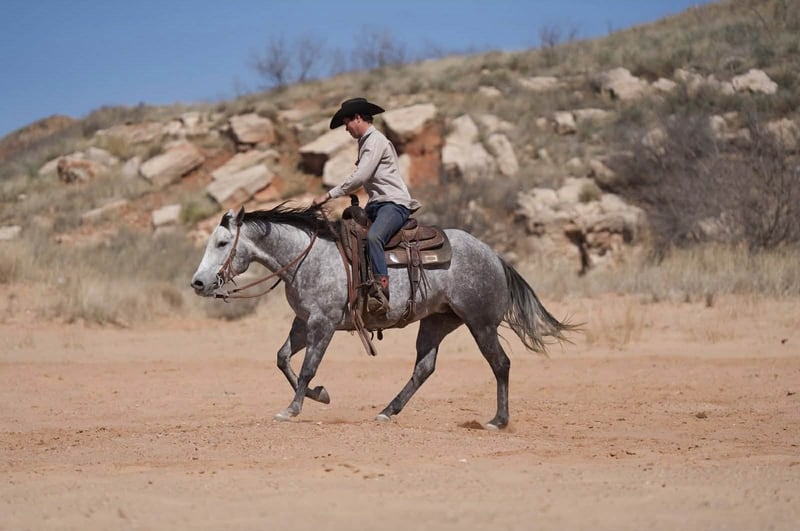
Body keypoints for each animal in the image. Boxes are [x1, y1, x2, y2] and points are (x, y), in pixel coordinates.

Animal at [190, 204, 576, 430]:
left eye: (222, 243)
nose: (198, 282)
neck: (307, 258)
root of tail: (494, 255)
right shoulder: (304, 323)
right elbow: (283, 358)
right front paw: (319, 396)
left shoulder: (323, 324)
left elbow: (307, 367)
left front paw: (294, 408)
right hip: (437, 322)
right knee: (424, 368)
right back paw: (388, 411)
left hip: (480, 324)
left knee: (500, 363)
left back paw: (498, 420)